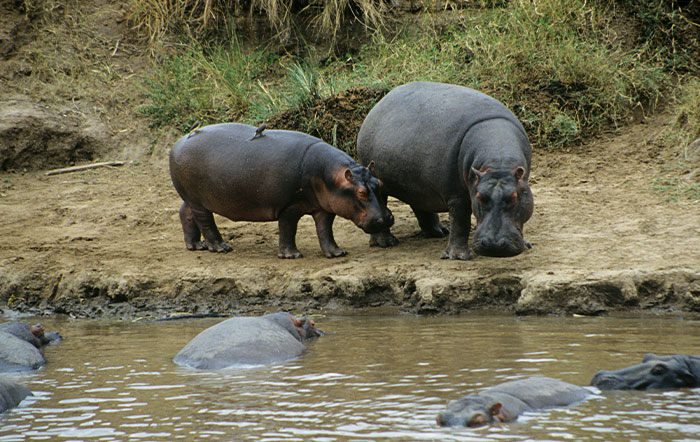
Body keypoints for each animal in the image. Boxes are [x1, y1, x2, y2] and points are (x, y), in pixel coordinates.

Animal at [169, 123, 394, 258]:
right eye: (361, 193)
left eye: (380, 184)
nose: (386, 218)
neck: (330, 175)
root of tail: (178, 143)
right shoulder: (289, 206)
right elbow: (288, 228)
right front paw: (292, 255)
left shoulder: (324, 207)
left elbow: (325, 230)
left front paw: (336, 253)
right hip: (200, 201)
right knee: (206, 221)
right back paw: (220, 247)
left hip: (190, 198)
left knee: (184, 212)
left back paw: (196, 245)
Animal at [357, 81, 534, 260]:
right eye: (479, 197)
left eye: (514, 196)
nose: (493, 246)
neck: (498, 164)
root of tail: (379, 104)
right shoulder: (457, 196)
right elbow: (460, 222)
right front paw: (459, 256)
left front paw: (526, 245)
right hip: (379, 184)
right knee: (379, 207)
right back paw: (386, 242)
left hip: (418, 184)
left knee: (421, 206)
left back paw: (439, 232)